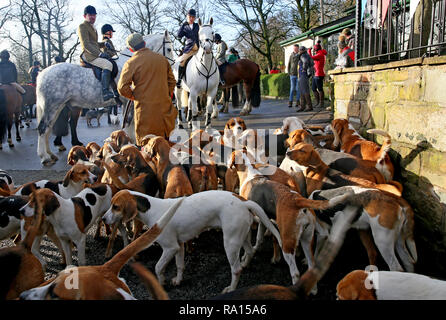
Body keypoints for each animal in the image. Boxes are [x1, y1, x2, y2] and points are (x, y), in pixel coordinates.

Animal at [35, 31, 174, 165]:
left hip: (57, 107)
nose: (172, 67)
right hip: (52, 106)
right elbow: (129, 123)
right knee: (43, 129)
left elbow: (129, 123)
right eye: (169, 49)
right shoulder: (127, 102)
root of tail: (43, 73)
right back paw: (44, 157)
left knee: (48, 129)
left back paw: (50, 154)